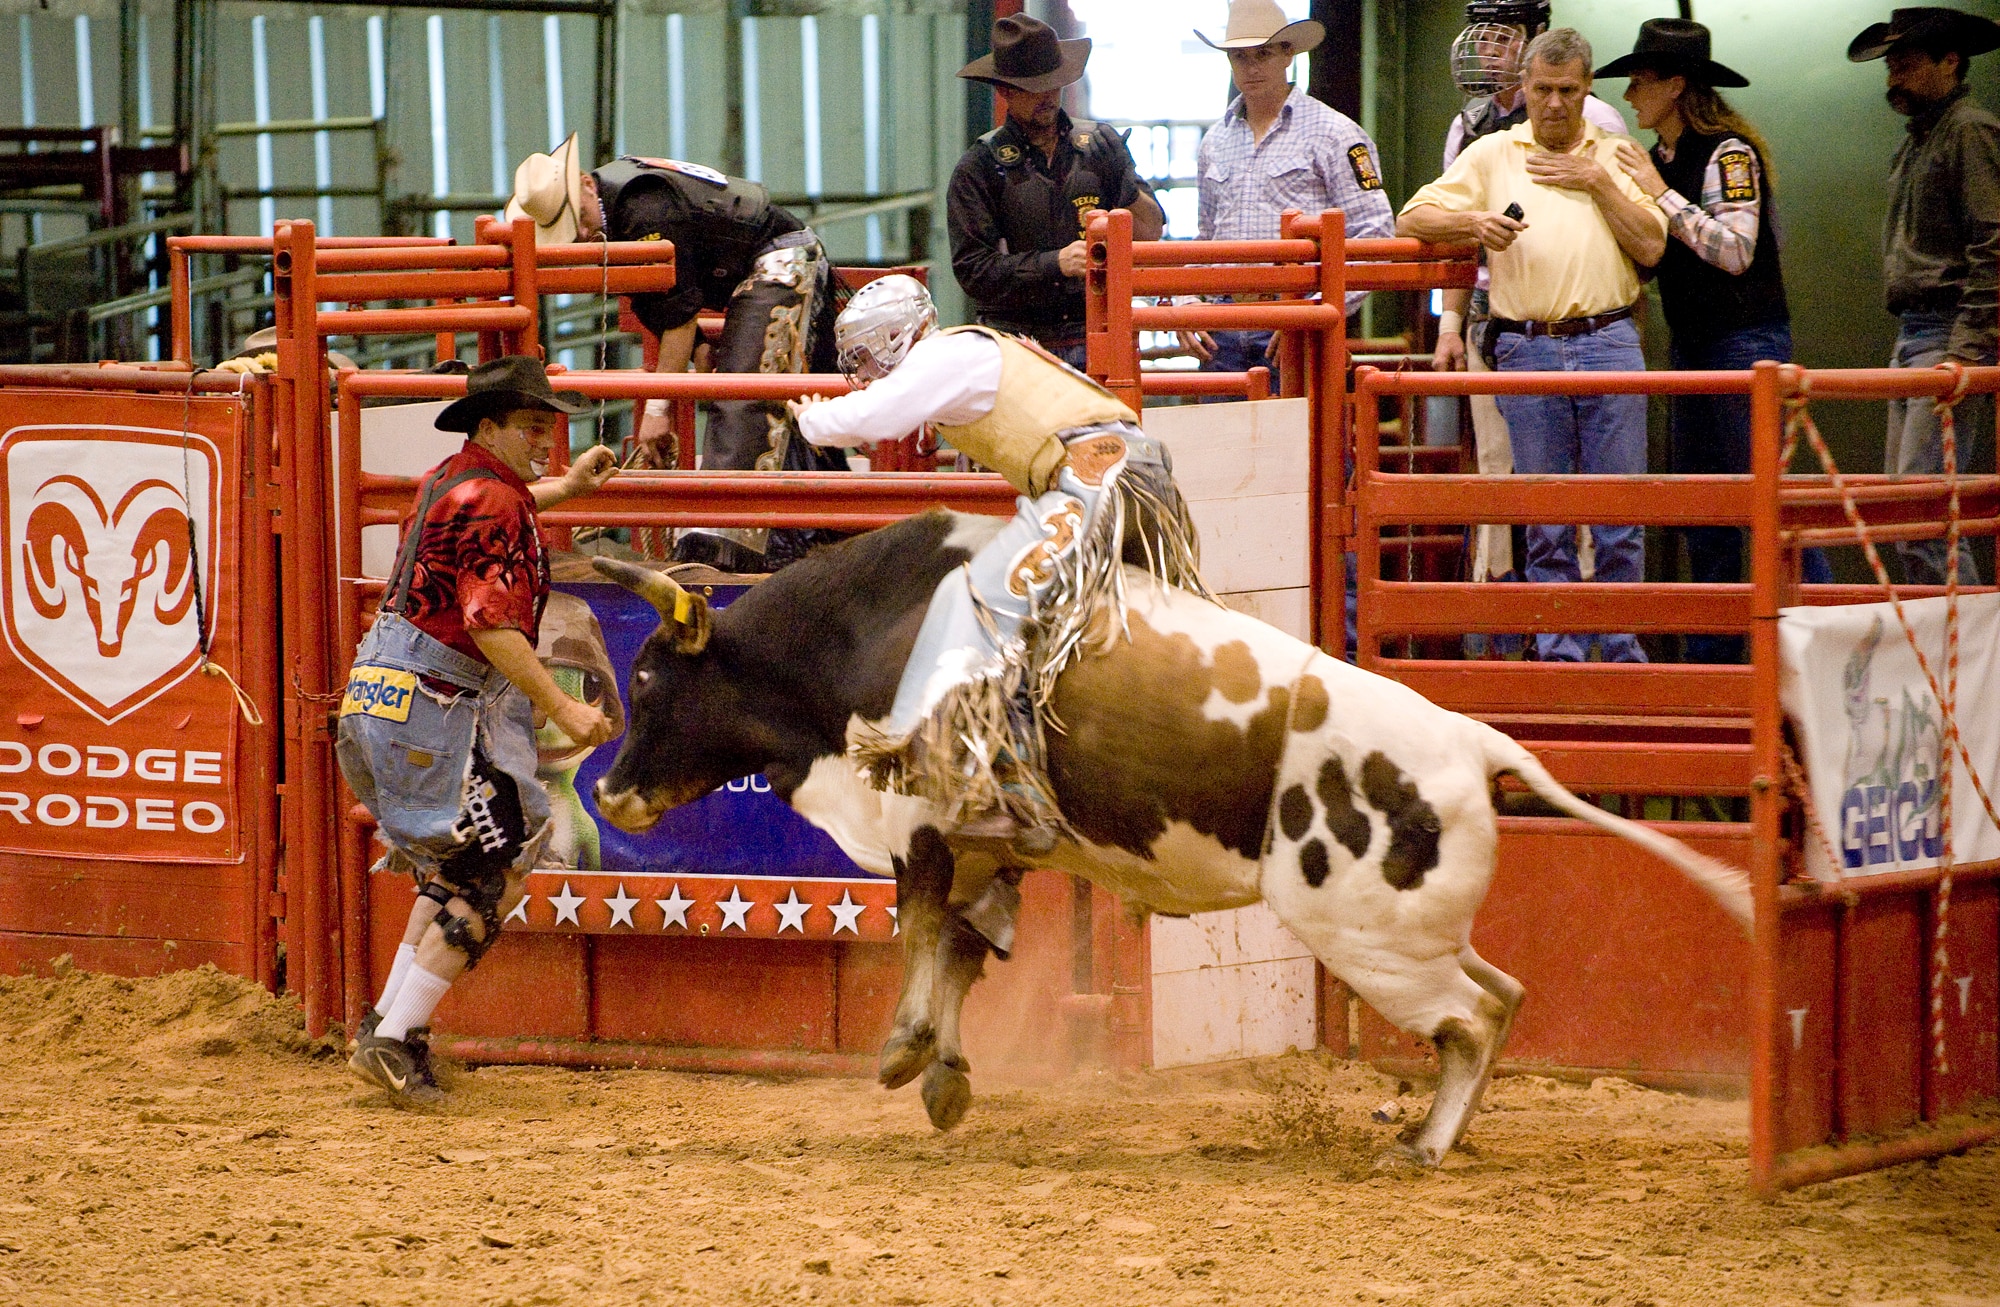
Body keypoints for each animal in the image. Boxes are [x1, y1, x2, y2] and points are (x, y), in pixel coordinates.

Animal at [584, 511, 1752, 1167]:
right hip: (1414, 931)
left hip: (1366, 936)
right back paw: (1440, 1133)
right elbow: (960, 945)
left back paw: (1420, 1144)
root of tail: (1474, 737)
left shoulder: (923, 823)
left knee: (1466, 1020)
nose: (613, 789)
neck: (872, 627)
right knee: (1500, 996)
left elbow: (918, 928)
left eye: (648, 677)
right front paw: (947, 1074)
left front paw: (907, 1049)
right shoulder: (989, 846)